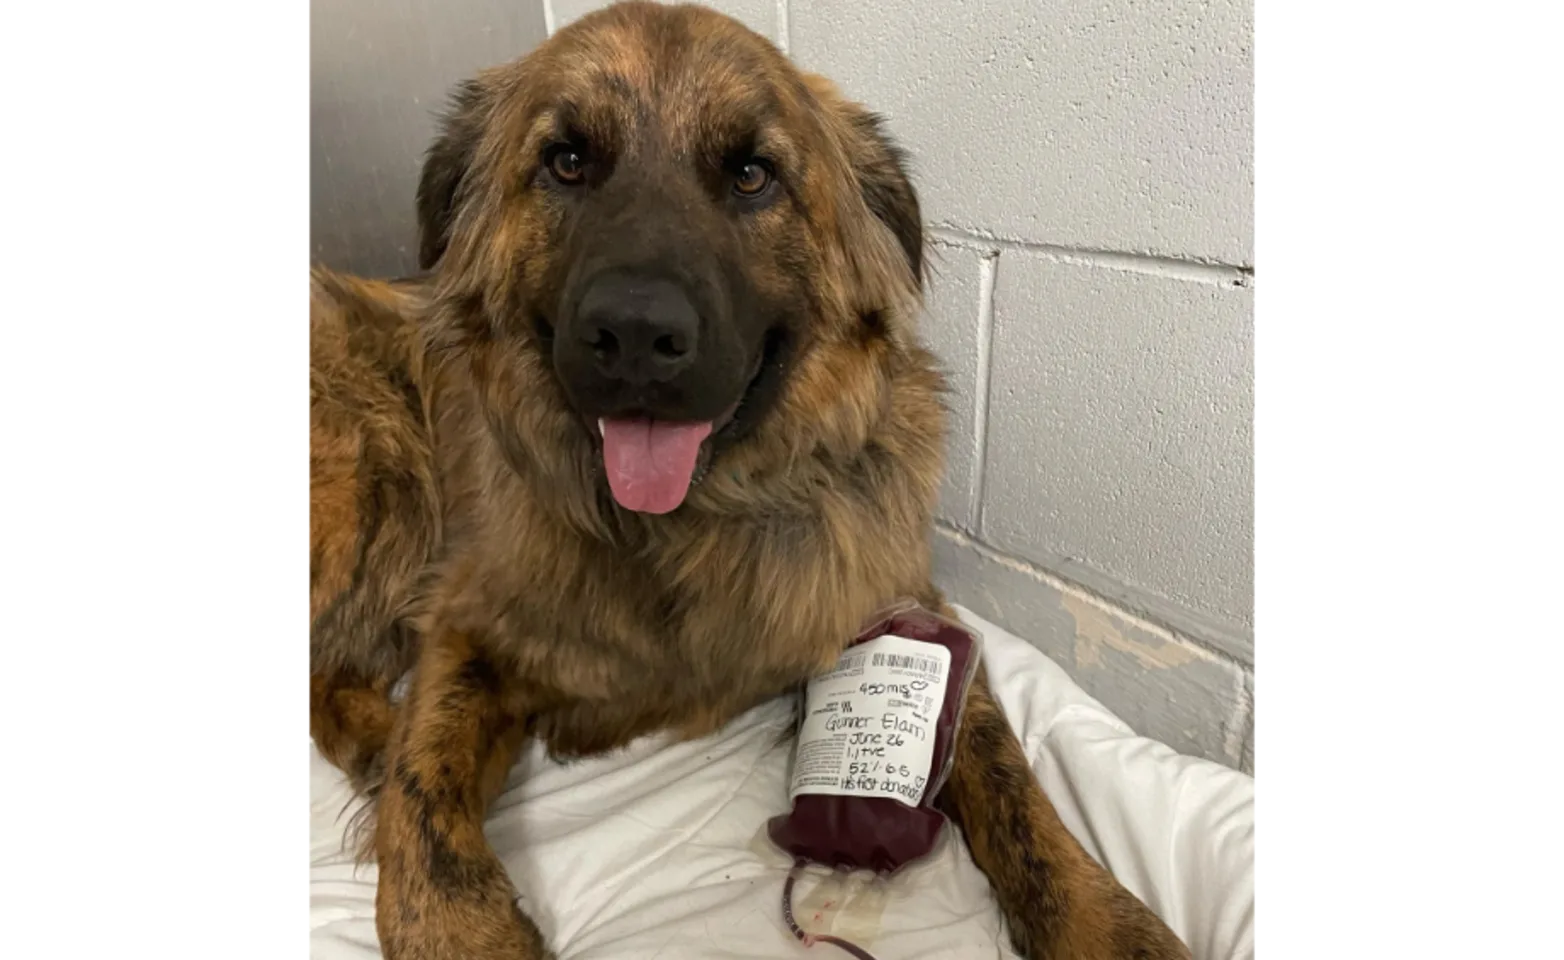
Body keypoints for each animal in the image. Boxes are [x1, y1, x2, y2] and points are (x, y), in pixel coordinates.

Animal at [301, 3, 1182, 956]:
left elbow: (1015, 786)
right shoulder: (466, 620)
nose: (635, 335)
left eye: (753, 175)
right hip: (369, 474)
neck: (684, 527)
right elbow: (424, 791)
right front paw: (457, 926)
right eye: (566, 161)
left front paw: (1107, 922)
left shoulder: (898, 597)